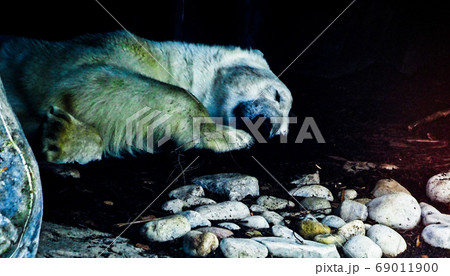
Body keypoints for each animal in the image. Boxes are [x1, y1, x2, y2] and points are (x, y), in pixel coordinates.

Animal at [0, 31, 292, 164]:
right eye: (277, 94)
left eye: (283, 133)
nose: (268, 128)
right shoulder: (110, 48)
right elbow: (88, 77)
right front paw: (229, 136)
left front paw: (60, 135)